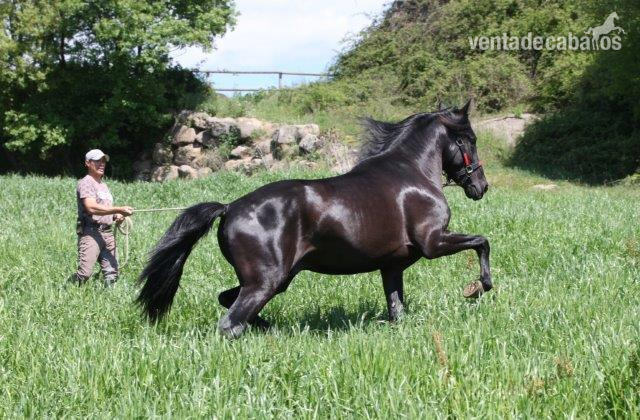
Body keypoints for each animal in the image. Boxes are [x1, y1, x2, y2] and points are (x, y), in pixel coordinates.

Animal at [137, 100, 492, 339]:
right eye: (471, 140)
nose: (481, 186)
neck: (411, 173)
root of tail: (229, 208)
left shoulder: (392, 266)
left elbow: (397, 310)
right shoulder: (433, 242)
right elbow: (482, 242)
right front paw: (480, 287)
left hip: (273, 280)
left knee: (228, 301)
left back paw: (271, 328)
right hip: (267, 280)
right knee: (230, 323)